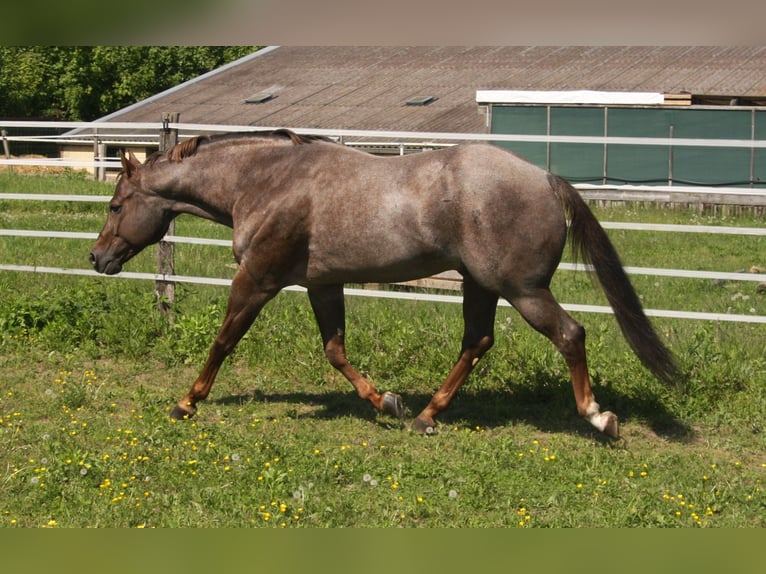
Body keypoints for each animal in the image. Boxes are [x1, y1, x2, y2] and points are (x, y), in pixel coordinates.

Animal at [90, 129, 678, 438]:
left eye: (116, 204)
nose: (98, 258)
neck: (267, 182)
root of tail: (546, 178)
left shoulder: (257, 279)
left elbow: (223, 340)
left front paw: (186, 402)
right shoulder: (322, 286)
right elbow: (335, 351)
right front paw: (387, 402)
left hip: (524, 290)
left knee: (569, 334)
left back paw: (598, 417)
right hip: (481, 285)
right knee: (477, 341)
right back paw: (425, 415)